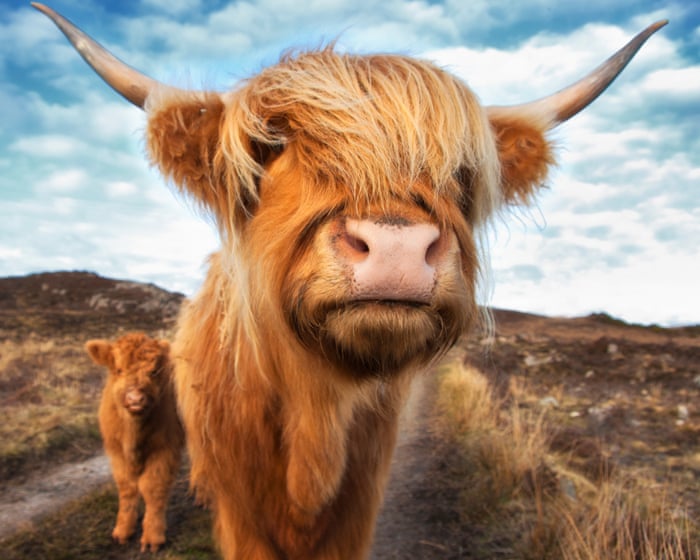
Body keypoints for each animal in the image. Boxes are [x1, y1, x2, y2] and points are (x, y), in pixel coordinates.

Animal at [85, 332, 184, 552]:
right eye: (119, 370)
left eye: (154, 371)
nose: (136, 398)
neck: (133, 433)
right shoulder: (116, 451)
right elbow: (127, 487)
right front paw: (123, 531)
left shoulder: (165, 449)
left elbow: (152, 487)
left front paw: (152, 537)